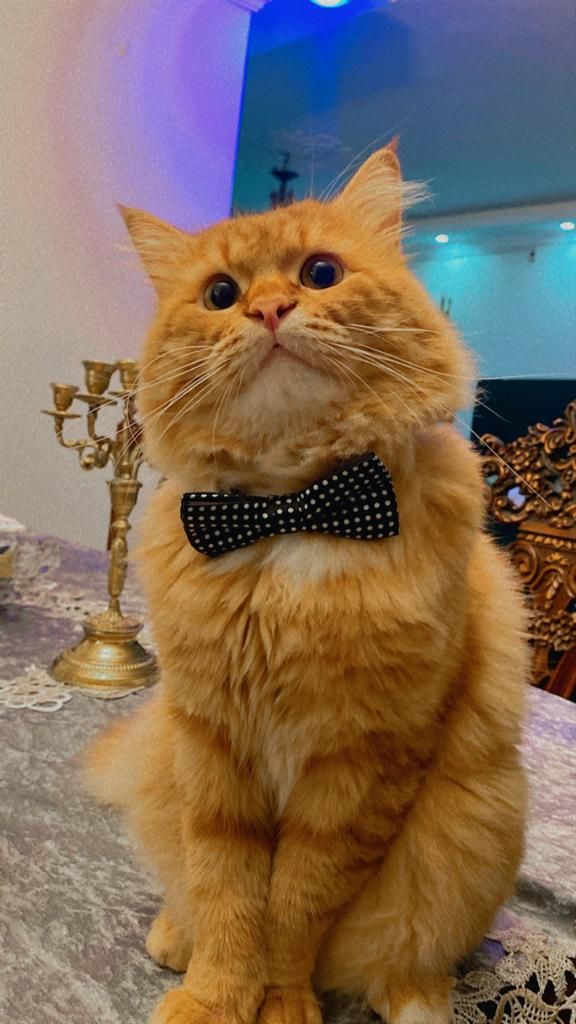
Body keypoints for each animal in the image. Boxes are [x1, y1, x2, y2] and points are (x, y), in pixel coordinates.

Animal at [84, 143, 529, 1024]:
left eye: (320, 273)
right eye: (221, 295)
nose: (268, 310)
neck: (288, 512)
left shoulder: (361, 767)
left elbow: (295, 911)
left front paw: (280, 1003)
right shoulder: (212, 745)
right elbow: (228, 898)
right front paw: (215, 995)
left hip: (478, 825)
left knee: (406, 957)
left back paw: (418, 1000)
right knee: (188, 892)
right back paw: (174, 937)